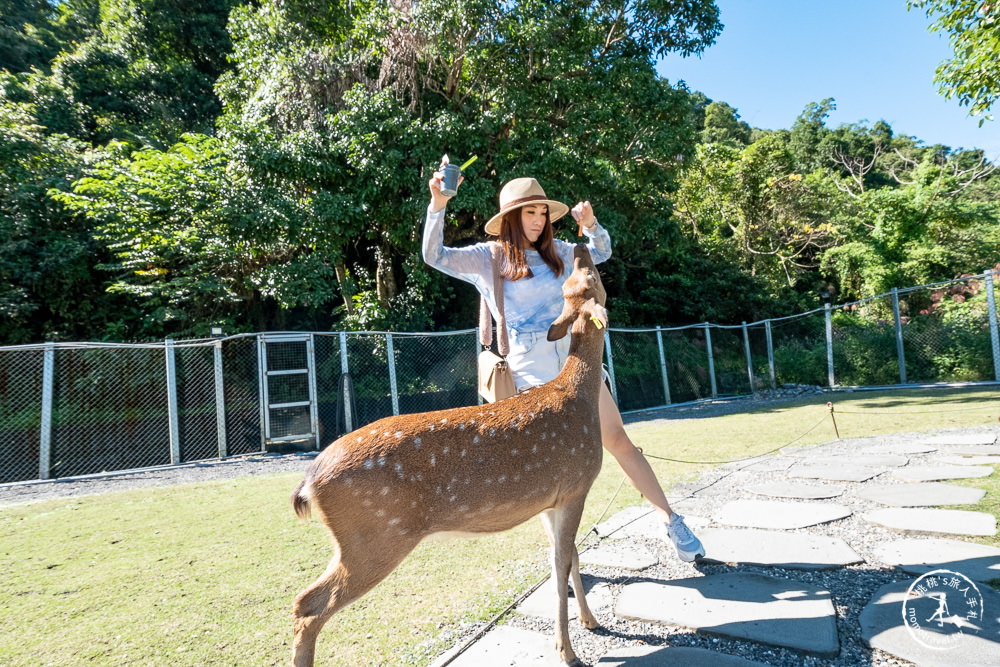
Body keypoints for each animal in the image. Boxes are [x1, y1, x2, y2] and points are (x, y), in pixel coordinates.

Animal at [290, 245, 608, 667]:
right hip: (373, 537)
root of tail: (309, 481)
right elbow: (561, 563)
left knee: (303, 602)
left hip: (358, 540)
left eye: (575, 283)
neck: (579, 396)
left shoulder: (550, 499)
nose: (582, 247)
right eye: (590, 279)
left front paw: (590, 621)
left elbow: (569, 556)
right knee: (308, 605)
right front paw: (567, 651)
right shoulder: (576, 485)